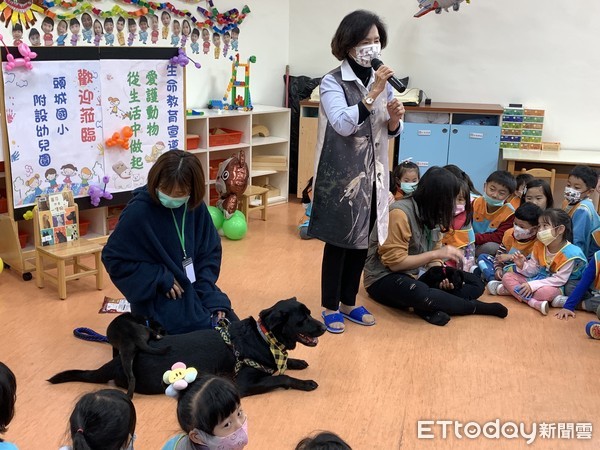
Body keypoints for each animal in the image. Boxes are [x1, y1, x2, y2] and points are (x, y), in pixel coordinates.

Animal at [48, 298, 326, 398]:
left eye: (310, 313)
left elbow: (285, 364)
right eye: (302, 319)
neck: (264, 337)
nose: (323, 326)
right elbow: (282, 377)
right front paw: (305, 382)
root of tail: (118, 361)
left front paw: (297, 362)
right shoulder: (244, 383)